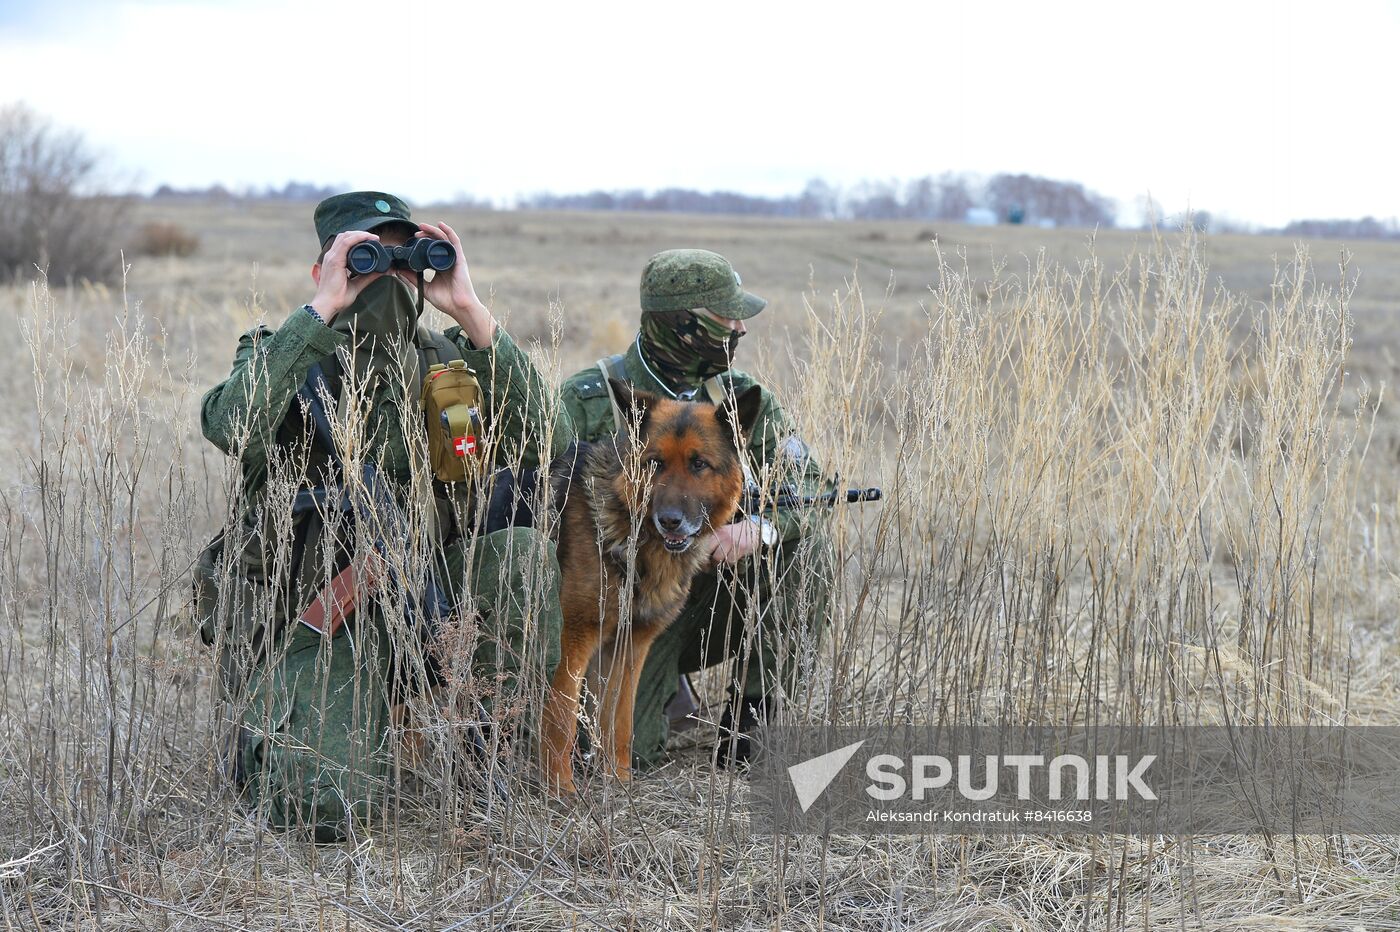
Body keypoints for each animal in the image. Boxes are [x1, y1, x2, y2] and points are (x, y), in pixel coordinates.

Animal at [537, 377, 761, 789]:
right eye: (654, 462)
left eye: (699, 464)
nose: (670, 520)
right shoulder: (572, 638)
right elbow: (561, 721)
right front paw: (560, 790)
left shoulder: (628, 647)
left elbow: (620, 723)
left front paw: (619, 782)